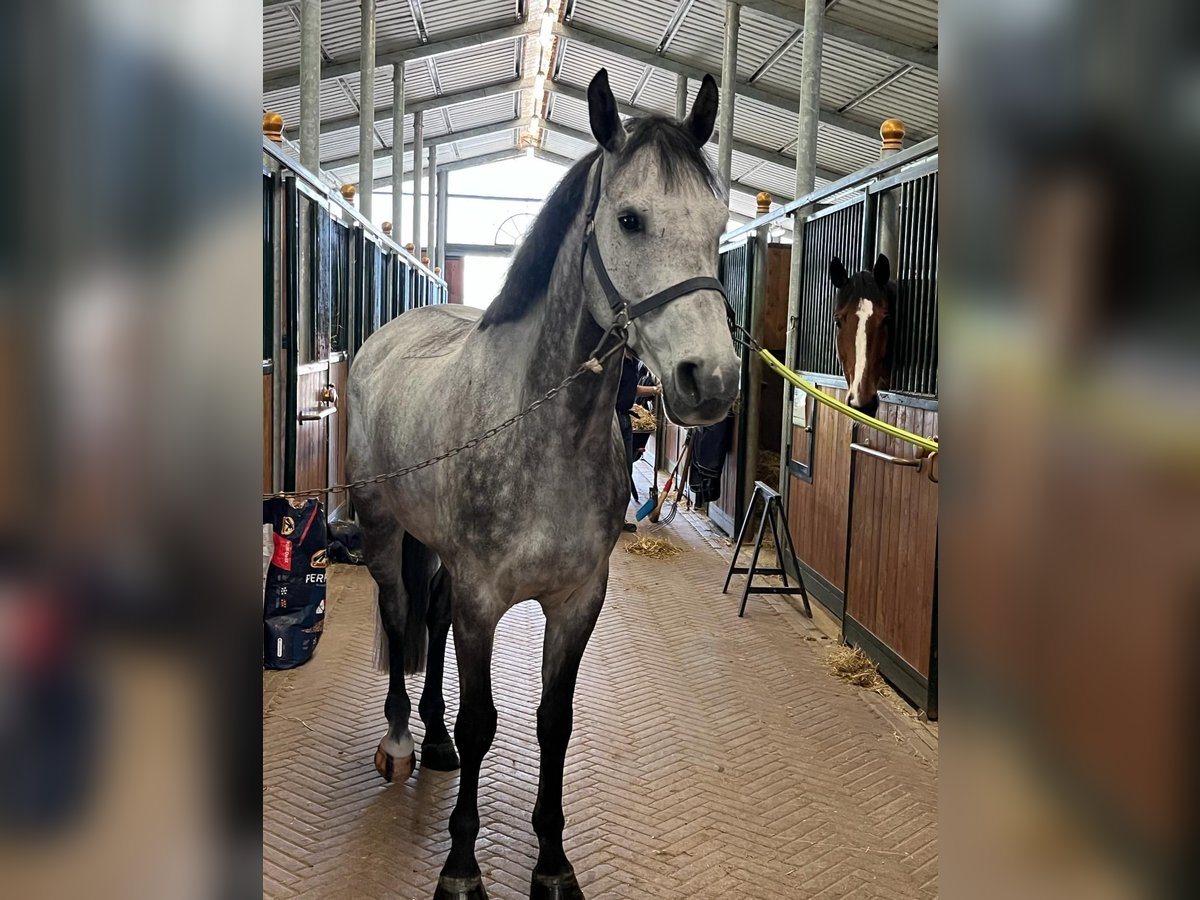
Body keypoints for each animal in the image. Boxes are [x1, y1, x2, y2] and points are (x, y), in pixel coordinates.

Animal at [346, 68, 740, 900]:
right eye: (630, 219)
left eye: (720, 222)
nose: (711, 381)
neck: (545, 435)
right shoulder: (485, 600)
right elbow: (484, 723)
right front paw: (462, 868)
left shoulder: (576, 601)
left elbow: (552, 722)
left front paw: (553, 863)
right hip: (381, 525)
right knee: (399, 614)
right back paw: (400, 740)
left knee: (429, 614)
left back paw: (431, 741)